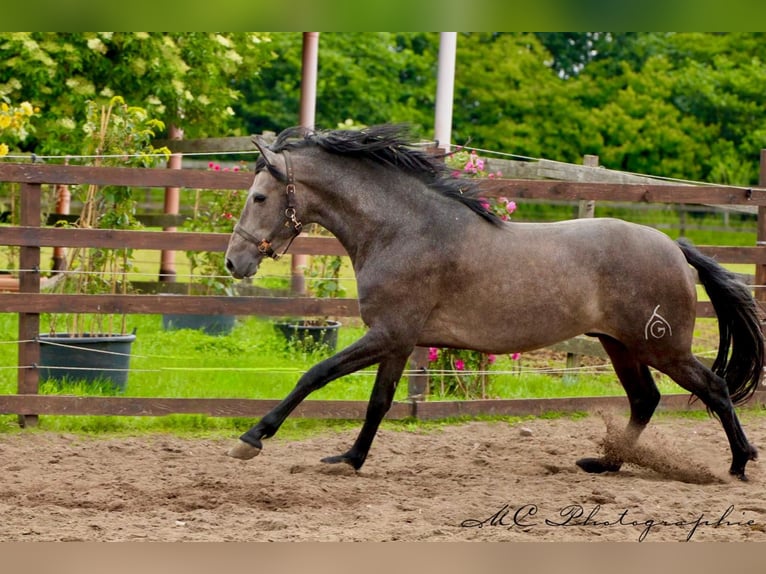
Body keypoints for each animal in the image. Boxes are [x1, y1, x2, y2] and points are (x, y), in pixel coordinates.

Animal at [224, 124, 764, 481]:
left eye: (258, 197)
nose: (234, 262)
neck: (403, 231)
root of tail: (676, 247)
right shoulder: (399, 341)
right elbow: (379, 403)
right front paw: (349, 460)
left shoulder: (388, 334)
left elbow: (315, 375)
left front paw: (252, 439)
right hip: (620, 346)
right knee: (645, 399)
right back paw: (604, 463)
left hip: (661, 346)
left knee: (713, 388)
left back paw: (739, 463)